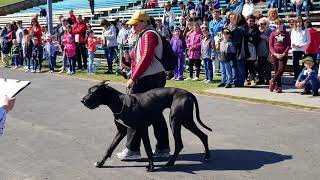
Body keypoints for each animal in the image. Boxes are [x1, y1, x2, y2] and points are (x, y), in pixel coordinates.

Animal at [81, 81, 212, 172]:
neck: (120, 102)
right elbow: (110, 148)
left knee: (180, 143)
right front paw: (100, 163)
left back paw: (170, 163)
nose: (82, 100)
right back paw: (206, 156)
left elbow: (148, 149)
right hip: (186, 121)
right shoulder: (121, 131)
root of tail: (189, 93)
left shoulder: (142, 129)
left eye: (91, 92)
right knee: (203, 135)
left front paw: (151, 167)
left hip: (176, 121)